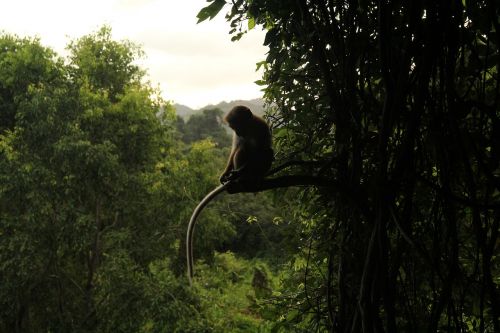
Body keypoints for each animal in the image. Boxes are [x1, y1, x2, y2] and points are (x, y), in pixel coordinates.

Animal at [187, 105, 274, 284]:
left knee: (266, 152)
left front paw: (238, 173)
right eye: (234, 128)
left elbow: (260, 151)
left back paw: (249, 177)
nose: (239, 132)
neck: (249, 127)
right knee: (243, 148)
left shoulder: (261, 128)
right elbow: (236, 149)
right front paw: (226, 173)